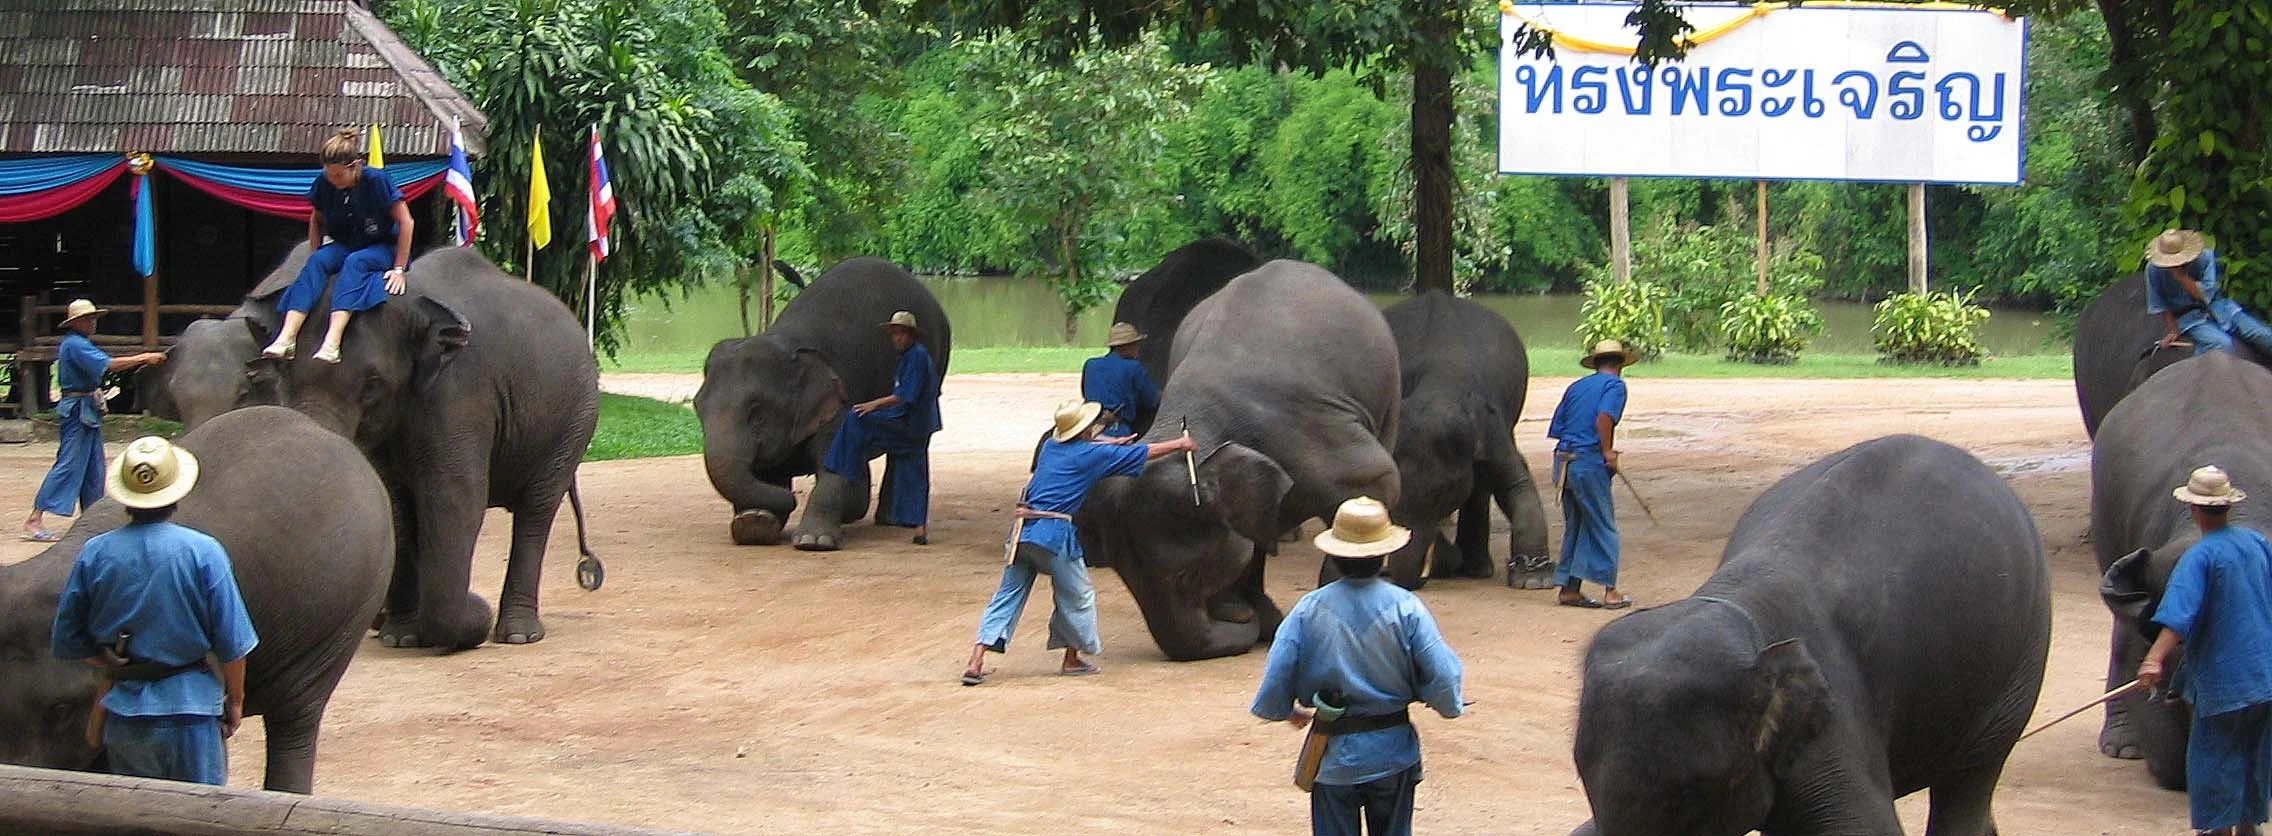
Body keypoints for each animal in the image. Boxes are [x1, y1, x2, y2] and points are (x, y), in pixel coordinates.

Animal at [243, 245, 600, 650]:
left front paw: (456, 621)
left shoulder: (460, 390)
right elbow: (396, 503)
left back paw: (519, 635)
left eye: (373, 382)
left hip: (574, 422)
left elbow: (455, 498)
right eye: (283, 371)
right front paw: (399, 637)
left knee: (536, 510)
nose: (478, 601)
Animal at [694, 256, 951, 547]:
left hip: (935, 365)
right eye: (697, 409)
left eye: (758, 415)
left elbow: (833, 467)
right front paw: (754, 523)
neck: (786, 342)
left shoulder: (838, 403)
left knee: (910, 444)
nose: (793, 498)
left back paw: (892, 521)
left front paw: (813, 541)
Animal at [1077, 260, 1400, 662]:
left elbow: (1378, 480)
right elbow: (1249, 538)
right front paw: (1256, 612)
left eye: (1185, 575)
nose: (1241, 616)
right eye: (1125, 578)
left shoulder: (1311, 436)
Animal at [1344, 290, 1550, 589]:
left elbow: (1515, 483)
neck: (1438, 385)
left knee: (1480, 489)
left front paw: (1534, 580)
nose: (1413, 577)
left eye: (1443, 494)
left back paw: (1477, 569)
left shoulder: (1492, 424)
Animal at [1570, 434, 2049, 836]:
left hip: (2020, 662)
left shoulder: (1833, 712)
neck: (1735, 603)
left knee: (1970, 779)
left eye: (1695, 793)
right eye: (1582, 773)